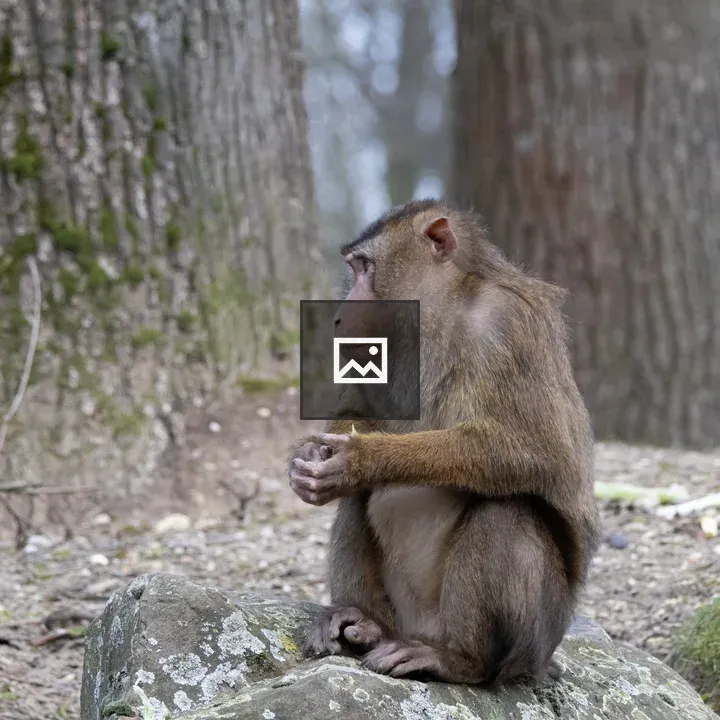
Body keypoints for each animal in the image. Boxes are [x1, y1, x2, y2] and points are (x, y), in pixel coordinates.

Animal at [287, 199, 601, 686]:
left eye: (364, 268)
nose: (340, 315)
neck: (440, 313)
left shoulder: (509, 325)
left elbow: (538, 453)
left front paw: (362, 459)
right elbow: (359, 408)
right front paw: (312, 455)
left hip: (535, 638)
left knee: (504, 511)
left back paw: (459, 659)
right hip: (401, 612)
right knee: (357, 503)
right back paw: (364, 621)